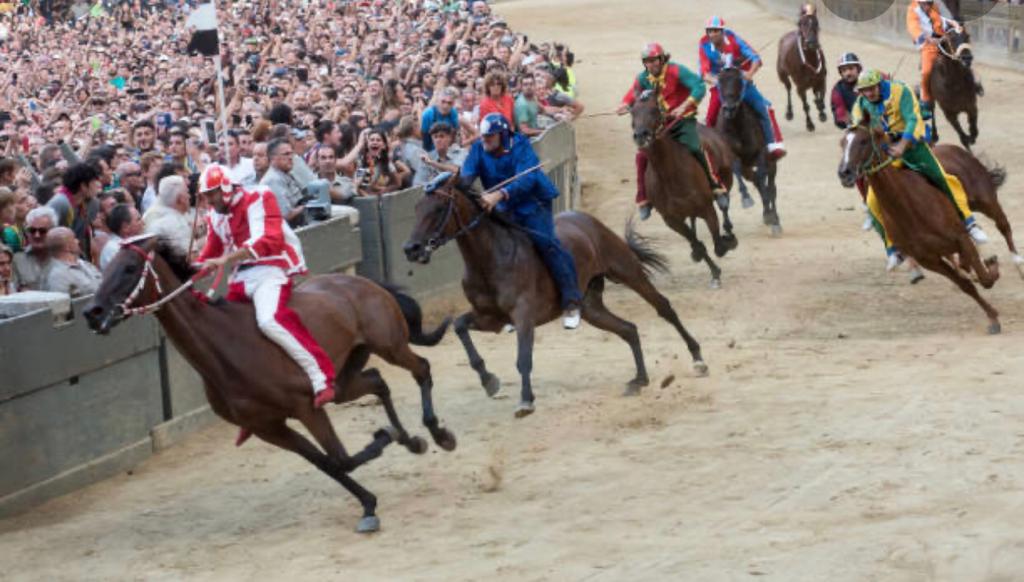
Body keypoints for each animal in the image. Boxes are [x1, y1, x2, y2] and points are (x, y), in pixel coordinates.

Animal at [81, 235, 458, 532]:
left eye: (129, 268)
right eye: (105, 266)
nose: (92, 312)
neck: (228, 346)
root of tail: (362, 282)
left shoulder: (306, 407)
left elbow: (341, 459)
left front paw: (383, 438)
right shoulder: (268, 426)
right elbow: (330, 463)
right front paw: (368, 503)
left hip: (389, 345)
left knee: (421, 369)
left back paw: (439, 433)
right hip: (344, 379)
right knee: (379, 382)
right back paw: (412, 440)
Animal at [403, 174, 708, 418]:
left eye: (438, 208)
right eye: (416, 208)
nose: (411, 248)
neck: (491, 258)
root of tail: (587, 219)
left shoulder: (523, 315)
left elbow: (523, 358)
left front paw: (526, 400)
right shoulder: (490, 318)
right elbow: (459, 326)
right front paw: (489, 380)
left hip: (627, 270)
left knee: (664, 308)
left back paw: (698, 359)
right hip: (591, 306)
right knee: (629, 329)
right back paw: (639, 379)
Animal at [626, 89, 741, 288]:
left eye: (654, 110)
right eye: (633, 112)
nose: (641, 135)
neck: (670, 173)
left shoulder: (706, 208)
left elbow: (718, 245)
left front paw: (728, 243)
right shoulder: (672, 219)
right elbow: (698, 245)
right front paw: (713, 271)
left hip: (726, 177)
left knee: (724, 204)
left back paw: (728, 225)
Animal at [712, 68, 782, 238]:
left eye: (739, 82)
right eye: (720, 83)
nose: (729, 108)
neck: (736, 126)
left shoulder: (761, 153)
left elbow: (764, 183)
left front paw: (771, 216)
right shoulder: (732, 156)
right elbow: (738, 170)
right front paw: (746, 198)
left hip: (771, 163)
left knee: (771, 187)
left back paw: (775, 220)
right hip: (745, 168)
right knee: (754, 181)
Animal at [839, 121, 999, 336]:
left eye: (863, 141)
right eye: (842, 143)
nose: (844, 173)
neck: (911, 208)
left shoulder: (960, 238)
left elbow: (985, 278)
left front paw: (992, 266)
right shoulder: (928, 259)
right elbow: (966, 285)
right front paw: (993, 317)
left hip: (988, 203)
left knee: (1004, 228)